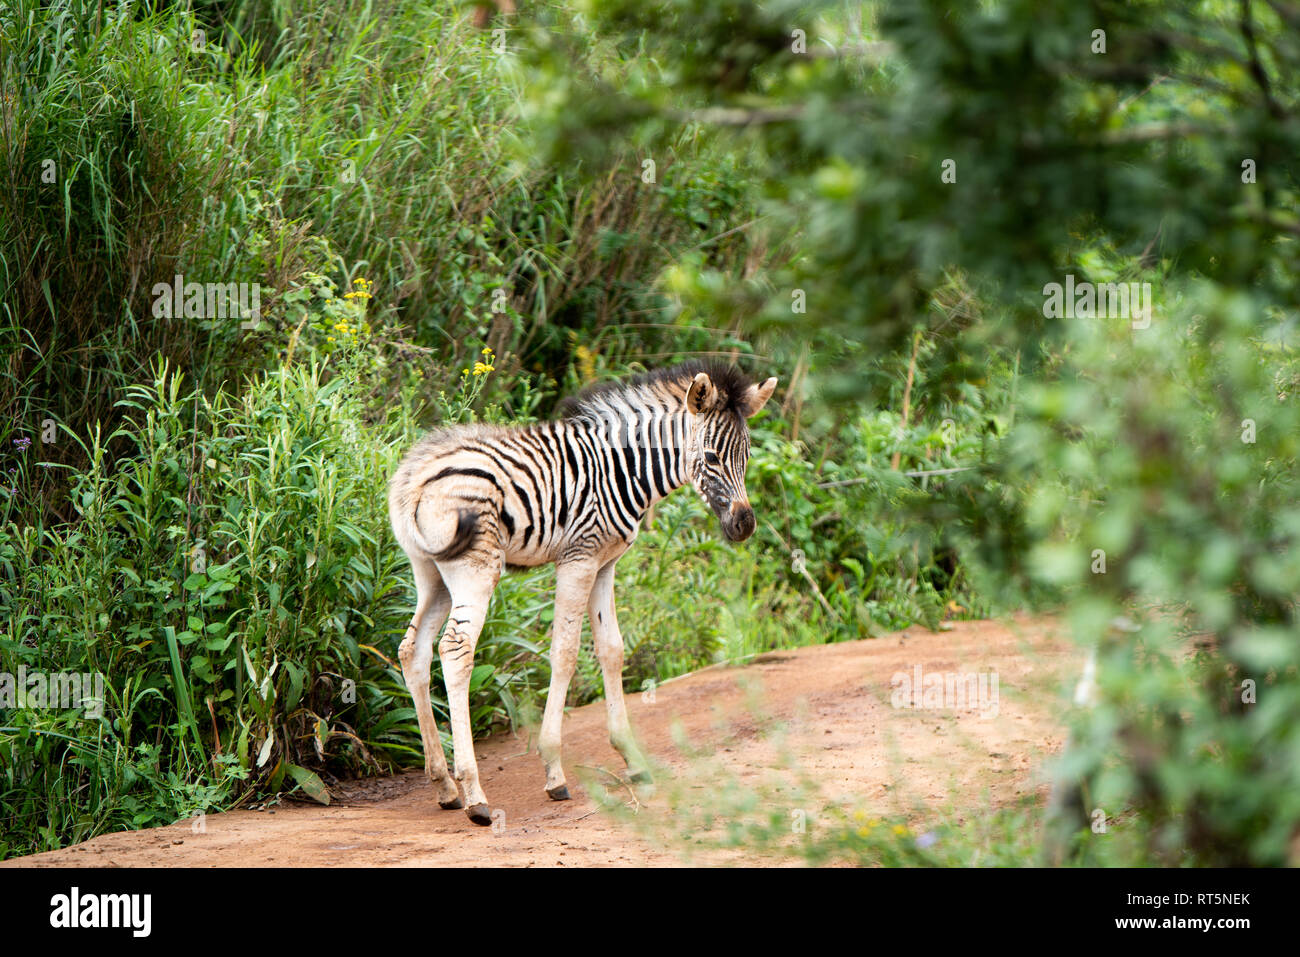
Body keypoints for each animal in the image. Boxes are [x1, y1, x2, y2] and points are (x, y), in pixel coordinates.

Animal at [382, 358, 769, 821]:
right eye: (710, 457)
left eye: (747, 457)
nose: (744, 526)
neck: (625, 467)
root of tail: (413, 477)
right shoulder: (578, 559)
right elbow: (565, 653)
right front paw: (554, 772)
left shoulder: (605, 565)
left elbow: (612, 650)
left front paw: (632, 759)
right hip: (474, 569)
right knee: (455, 651)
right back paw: (475, 795)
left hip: (431, 573)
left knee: (413, 650)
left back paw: (443, 784)